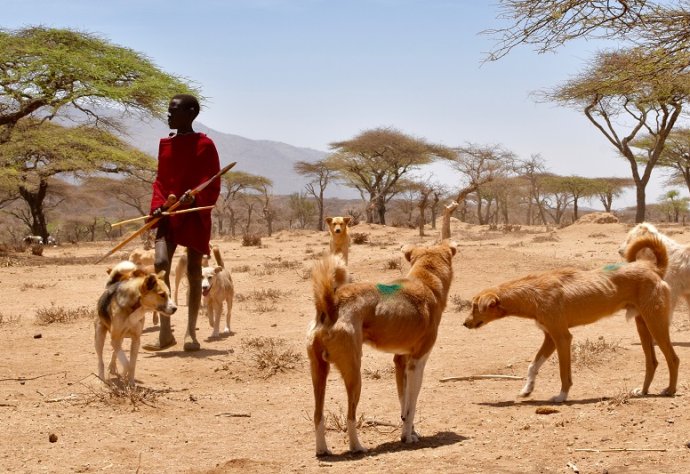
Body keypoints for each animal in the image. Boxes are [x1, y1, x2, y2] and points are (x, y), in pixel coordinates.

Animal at [306, 241, 456, 456]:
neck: (426, 282)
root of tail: (331, 304)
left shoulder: (400, 362)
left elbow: (403, 404)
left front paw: (410, 432)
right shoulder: (417, 363)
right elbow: (411, 405)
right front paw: (407, 437)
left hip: (319, 373)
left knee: (318, 415)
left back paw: (322, 450)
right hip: (354, 375)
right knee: (351, 415)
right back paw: (357, 447)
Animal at [462, 235, 676, 402]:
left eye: (474, 306)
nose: (464, 323)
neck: (532, 294)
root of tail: (653, 268)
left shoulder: (562, 337)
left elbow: (563, 372)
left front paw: (561, 396)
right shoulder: (550, 337)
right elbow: (532, 366)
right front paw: (527, 389)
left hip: (656, 323)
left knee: (673, 358)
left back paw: (670, 390)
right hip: (643, 325)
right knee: (652, 361)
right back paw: (643, 391)